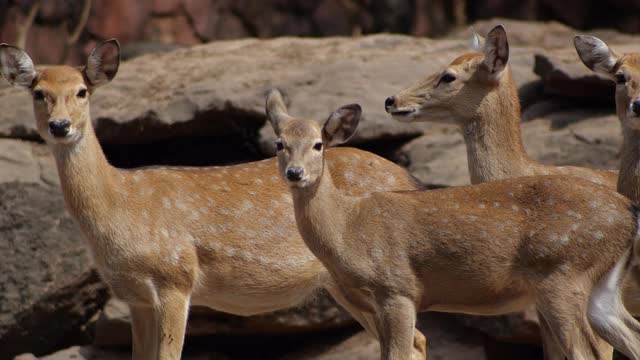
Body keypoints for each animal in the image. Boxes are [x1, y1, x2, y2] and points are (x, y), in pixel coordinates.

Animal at [1, 41, 430, 358]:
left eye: (82, 91)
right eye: (38, 93)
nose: (60, 126)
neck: (122, 206)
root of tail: (409, 177)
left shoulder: (175, 276)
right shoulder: (134, 298)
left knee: (412, 341)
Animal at [266, 88, 640, 360]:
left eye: (318, 145)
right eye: (279, 144)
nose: (295, 173)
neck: (348, 227)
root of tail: (629, 211)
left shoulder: (397, 290)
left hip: (562, 272)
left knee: (587, 351)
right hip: (601, 286)